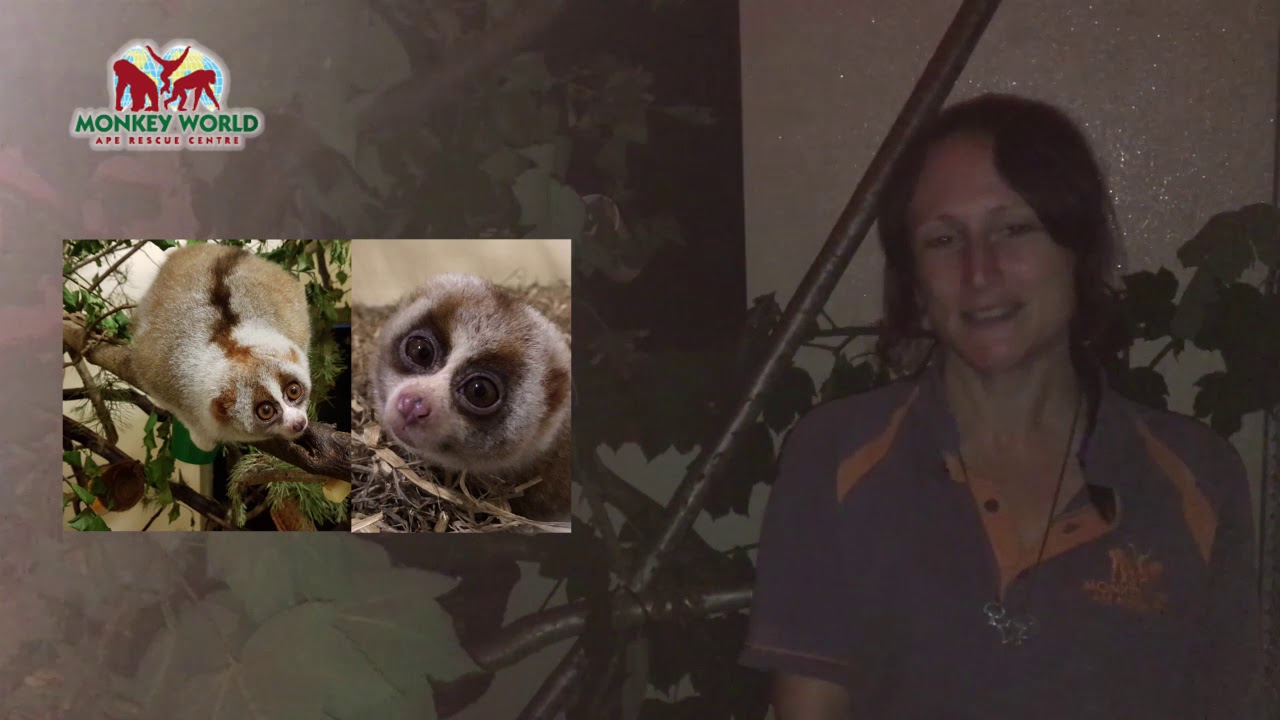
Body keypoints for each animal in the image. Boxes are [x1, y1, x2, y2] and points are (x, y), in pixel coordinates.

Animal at [129, 243, 312, 453]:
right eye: (266, 410)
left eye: (294, 391)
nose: (298, 423)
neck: (228, 342)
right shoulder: (159, 375)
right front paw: (201, 436)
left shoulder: (298, 328)